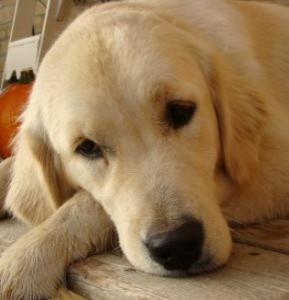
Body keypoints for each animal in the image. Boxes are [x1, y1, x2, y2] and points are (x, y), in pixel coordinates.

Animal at [0, 0, 288, 298]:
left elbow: (89, 202)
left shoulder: (275, 165)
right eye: (88, 147)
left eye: (179, 111)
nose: (176, 245)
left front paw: (25, 257)